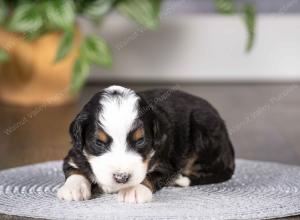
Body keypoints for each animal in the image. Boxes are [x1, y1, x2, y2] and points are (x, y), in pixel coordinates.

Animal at [56, 85, 234, 203]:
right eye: (98, 142)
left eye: (140, 140)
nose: (122, 177)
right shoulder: (74, 154)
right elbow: (75, 171)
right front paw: (73, 189)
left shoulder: (165, 164)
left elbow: (150, 176)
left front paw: (134, 190)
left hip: (202, 127)